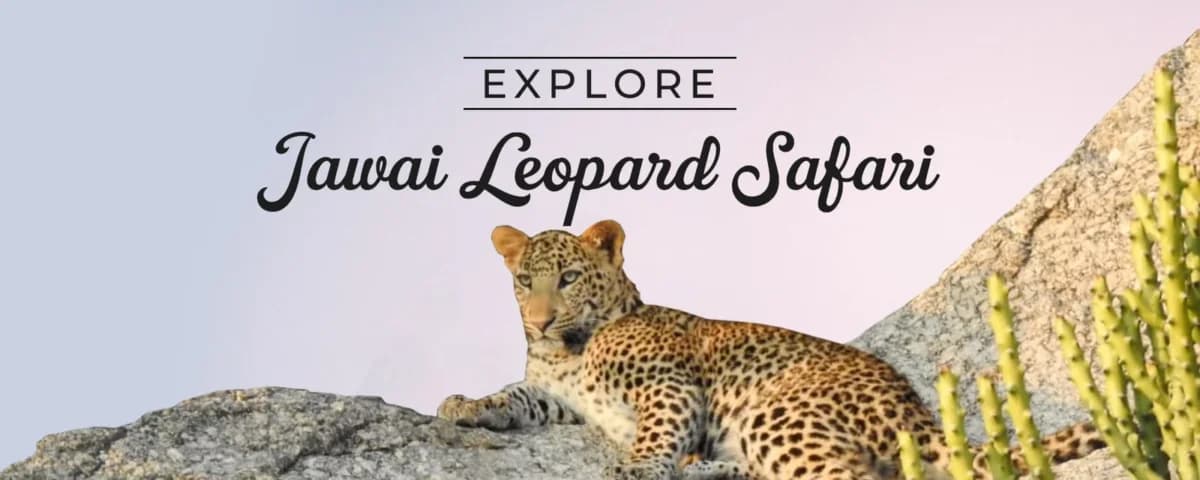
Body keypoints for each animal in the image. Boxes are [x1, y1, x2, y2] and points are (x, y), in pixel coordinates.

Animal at [437, 219, 1104, 479]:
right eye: (525, 281)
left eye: (570, 278)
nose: (540, 320)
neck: (570, 354)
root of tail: (914, 411)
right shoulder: (558, 396)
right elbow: (515, 396)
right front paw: (465, 405)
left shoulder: (669, 384)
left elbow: (656, 432)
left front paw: (637, 466)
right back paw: (708, 471)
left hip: (777, 412)